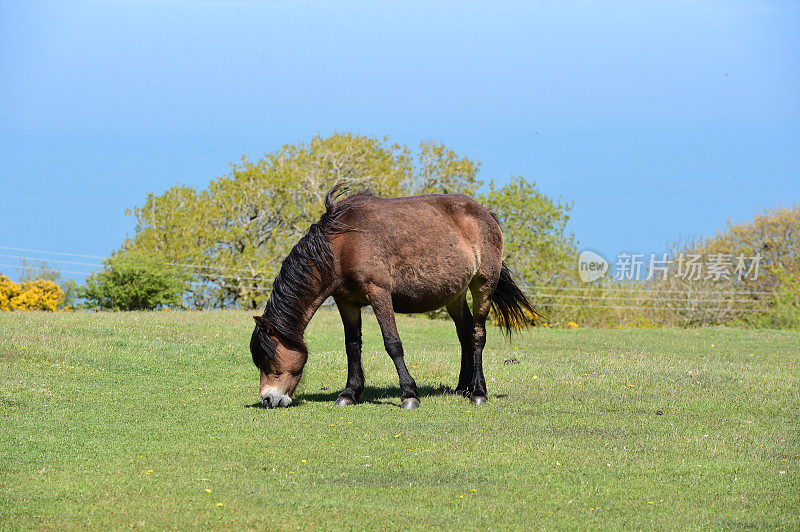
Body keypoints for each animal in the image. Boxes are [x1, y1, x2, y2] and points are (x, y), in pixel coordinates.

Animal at [252, 185, 536, 410]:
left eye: (269, 358)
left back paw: (477, 391)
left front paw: (409, 395)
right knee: (464, 333)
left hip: (483, 284)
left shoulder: (379, 294)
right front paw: (349, 393)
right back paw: (461, 388)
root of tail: (485, 213)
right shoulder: (346, 302)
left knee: (477, 334)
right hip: (454, 295)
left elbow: (393, 344)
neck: (342, 244)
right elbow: (352, 346)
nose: (268, 399)